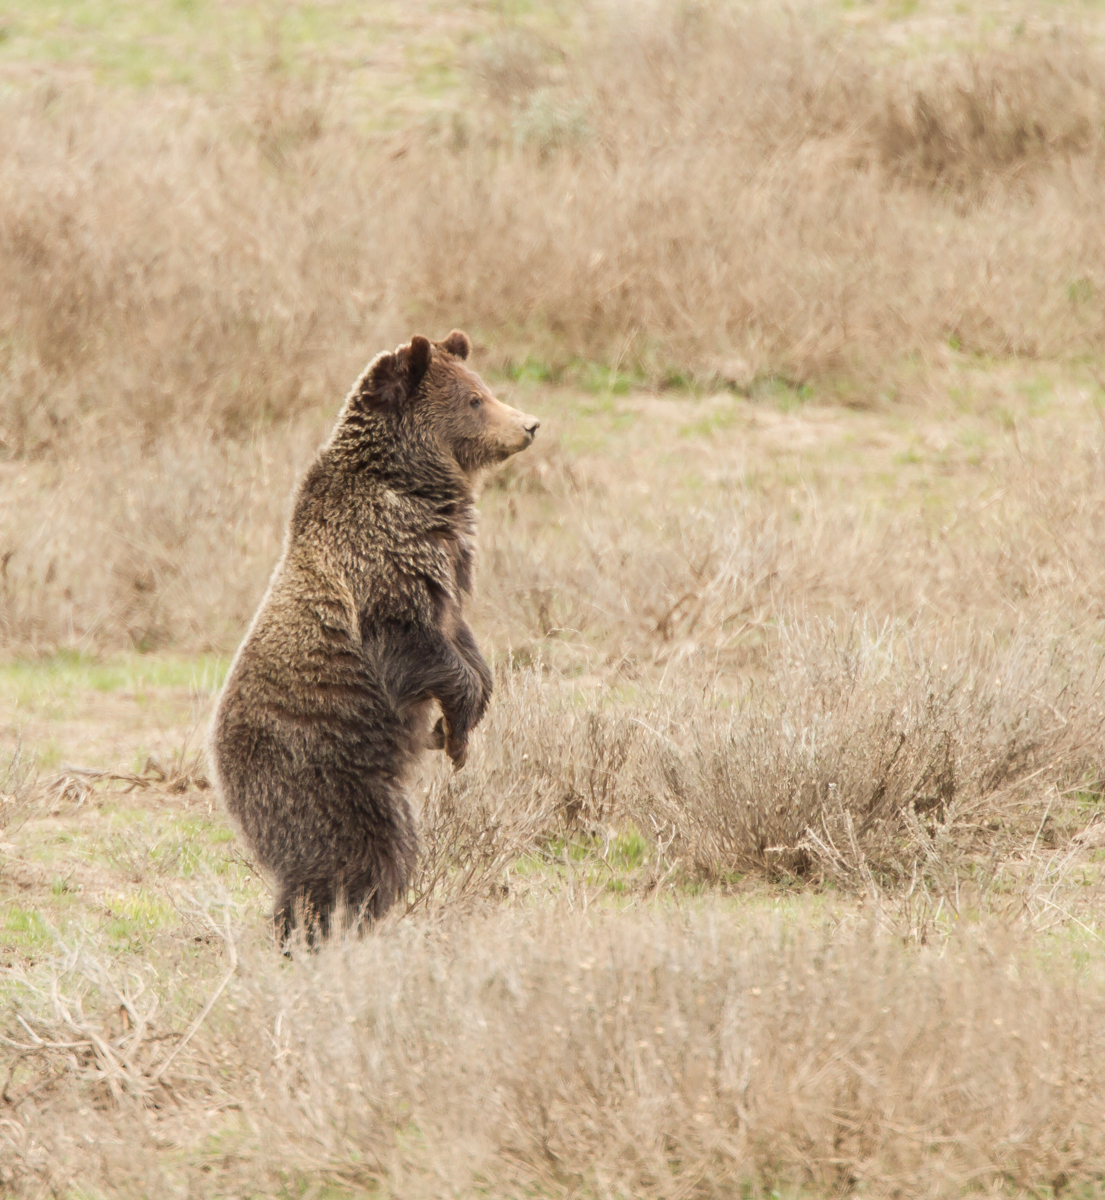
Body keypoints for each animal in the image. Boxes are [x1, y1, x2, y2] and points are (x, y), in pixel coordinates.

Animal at [206, 330, 539, 942]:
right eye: (475, 400)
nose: (529, 424)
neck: (414, 489)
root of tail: (216, 768)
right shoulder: (380, 566)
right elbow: (415, 646)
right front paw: (457, 727)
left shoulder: (450, 568)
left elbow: (466, 646)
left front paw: (460, 727)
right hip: (320, 769)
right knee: (355, 852)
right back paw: (318, 931)